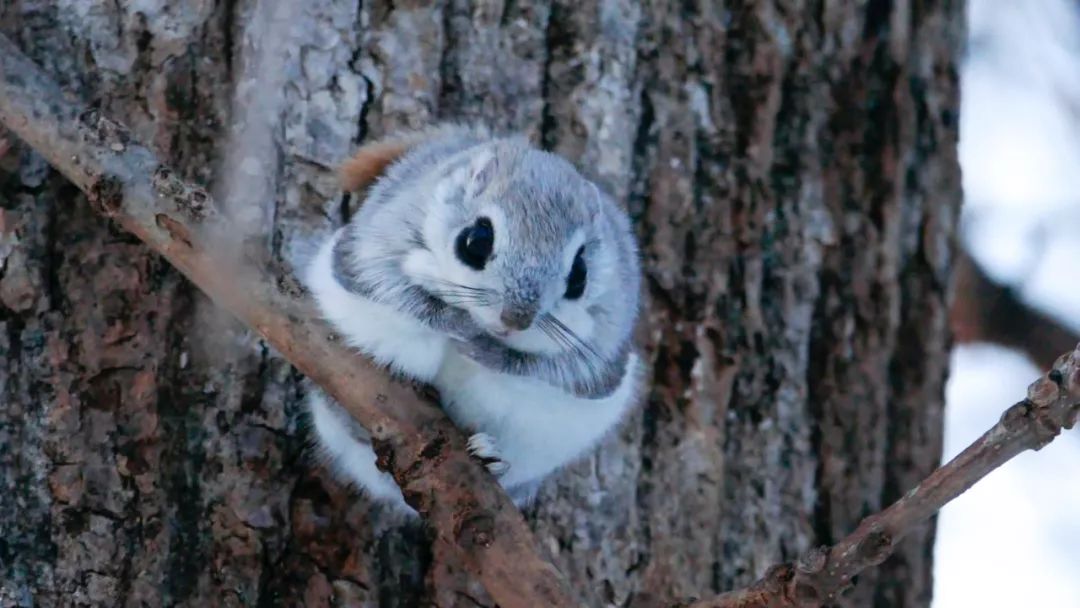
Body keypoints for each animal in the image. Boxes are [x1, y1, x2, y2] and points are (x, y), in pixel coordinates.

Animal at [302, 123, 639, 514]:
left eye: (580, 275)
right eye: (476, 240)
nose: (516, 319)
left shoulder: (605, 341)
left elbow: (558, 368)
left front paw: (488, 350)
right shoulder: (378, 248)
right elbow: (403, 295)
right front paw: (457, 319)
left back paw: (490, 457)